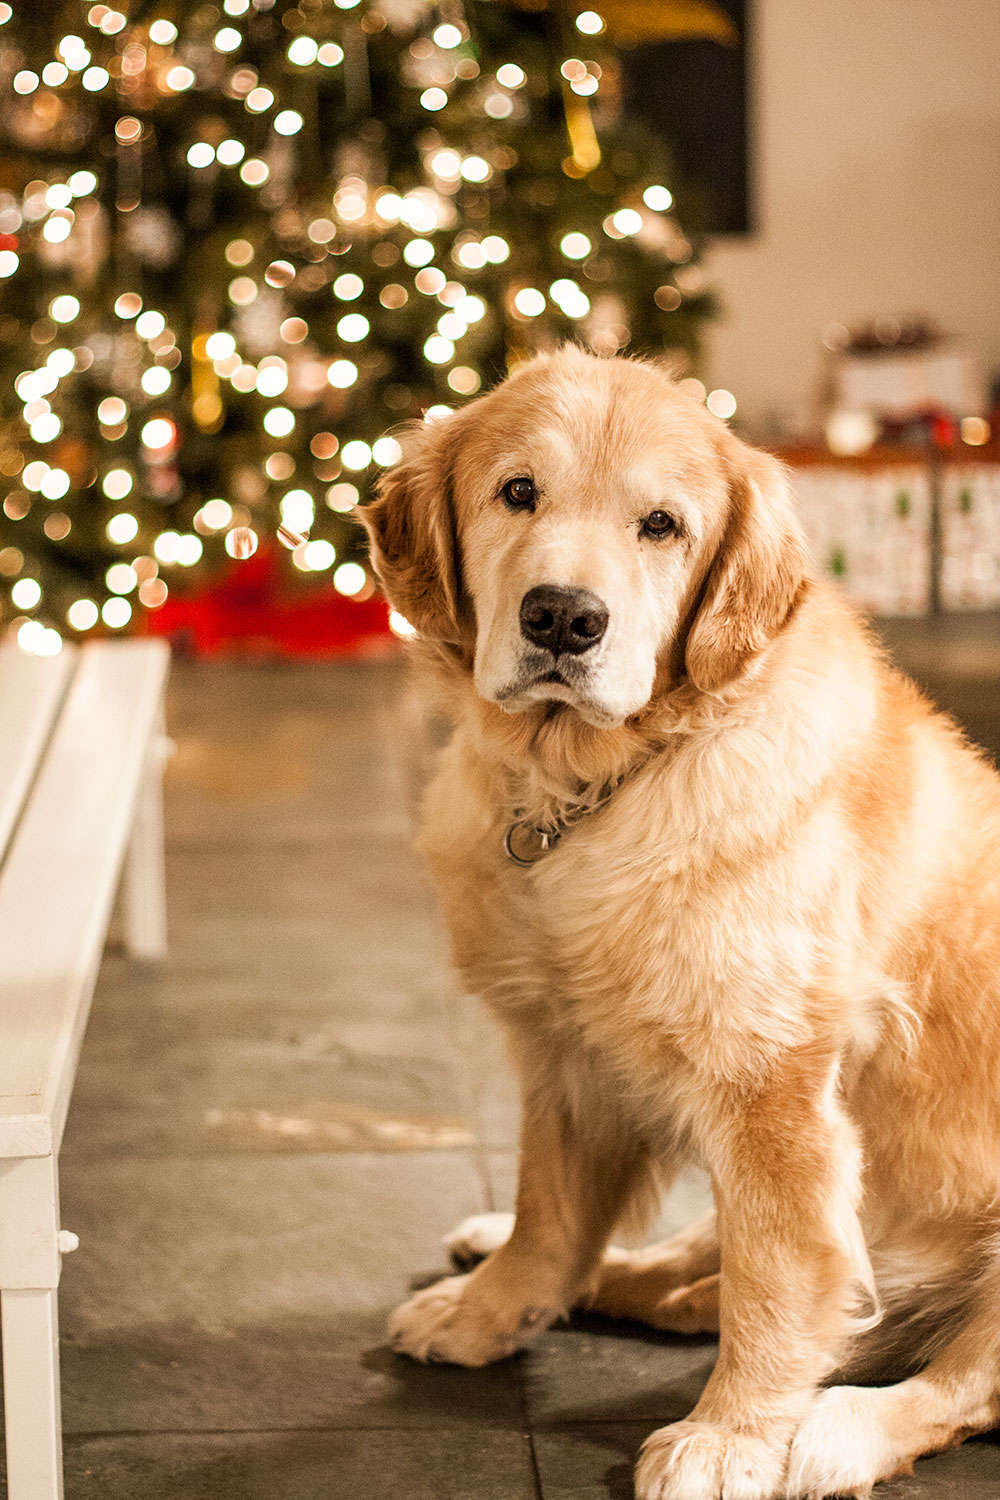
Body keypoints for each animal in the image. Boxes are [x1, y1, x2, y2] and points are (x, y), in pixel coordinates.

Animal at [364, 345, 1000, 1494]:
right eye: (517, 492)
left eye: (660, 525)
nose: (562, 618)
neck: (594, 790)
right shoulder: (566, 1052)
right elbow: (551, 1208)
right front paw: (495, 1304)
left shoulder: (771, 1088)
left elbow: (779, 1278)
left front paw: (733, 1436)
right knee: (688, 1269)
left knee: (956, 1375)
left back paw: (838, 1428)